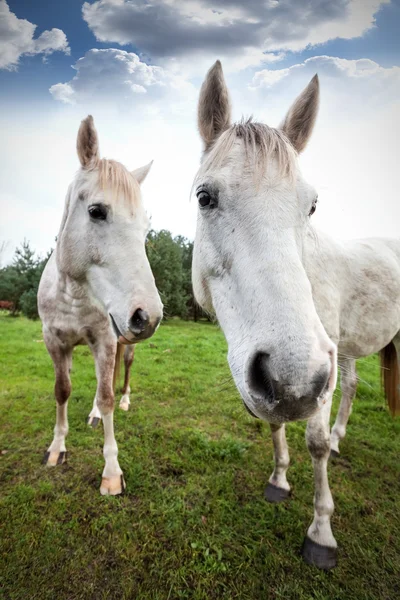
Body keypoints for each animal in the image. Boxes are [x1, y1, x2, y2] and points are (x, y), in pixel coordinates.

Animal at [38, 115, 162, 494]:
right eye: (96, 211)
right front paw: (56, 449)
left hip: (121, 343)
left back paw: (124, 400)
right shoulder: (55, 341)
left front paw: (111, 472)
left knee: (122, 372)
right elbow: (62, 390)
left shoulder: (104, 339)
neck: (74, 293)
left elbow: (105, 395)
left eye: (145, 227)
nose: (147, 317)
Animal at [192, 62, 398, 572]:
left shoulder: (319, 364)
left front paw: (321, 533)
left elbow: (315, 443)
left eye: (312, 206)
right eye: (205, 197)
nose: (297, 379)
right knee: (352, 387)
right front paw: (279, 481)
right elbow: (276, 422)